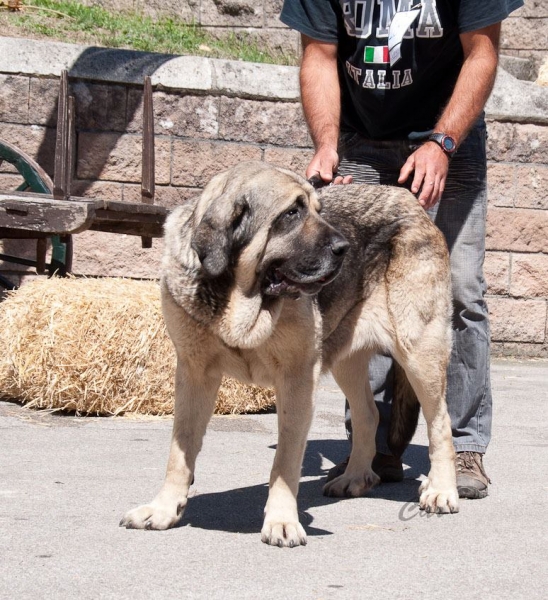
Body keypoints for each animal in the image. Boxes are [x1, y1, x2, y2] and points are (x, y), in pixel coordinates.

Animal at [121, 162, 458, 548]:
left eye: (317, 210)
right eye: (292, 213)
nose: (344, 248)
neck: (240, 300)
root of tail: (411, 202)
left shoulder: (297, 380)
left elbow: (284, 462)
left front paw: (281, 521)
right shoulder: (193, 373)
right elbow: (180, 449)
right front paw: (163, 509)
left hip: (419, 352)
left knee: (440, 423)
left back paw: (442, 490)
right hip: (346, 361)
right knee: (368, 416)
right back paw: (355, 477)